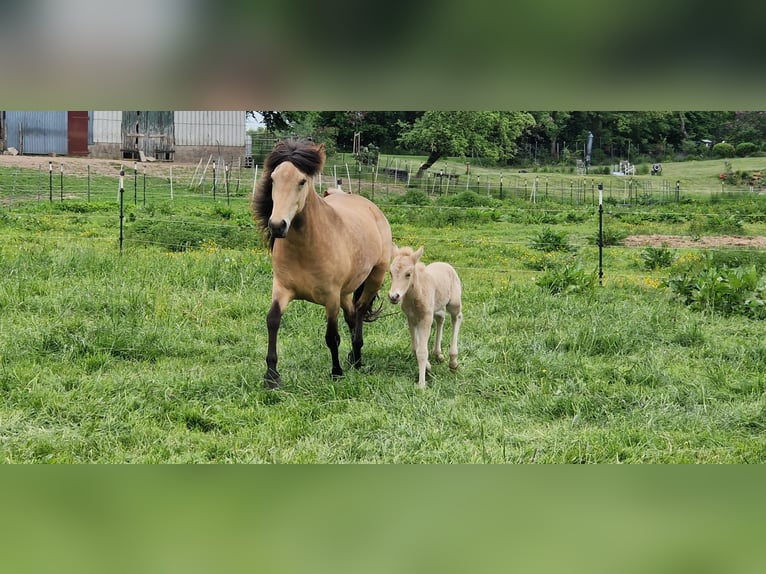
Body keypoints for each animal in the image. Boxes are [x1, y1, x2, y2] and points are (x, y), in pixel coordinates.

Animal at [388, 245, 464, 390]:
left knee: (456, 317)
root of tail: (445, 264)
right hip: (437, 307)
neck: (417, 294)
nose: (394, 296)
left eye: (408, 274)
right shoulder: (411, 319)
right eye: (390, 273)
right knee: (440, 318)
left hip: (454, 303)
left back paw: (453, 361)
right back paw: (438, 354)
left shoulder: (425, 319)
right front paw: (428, 367)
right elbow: (415, 348)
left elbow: (422, 351)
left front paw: (421, 384)